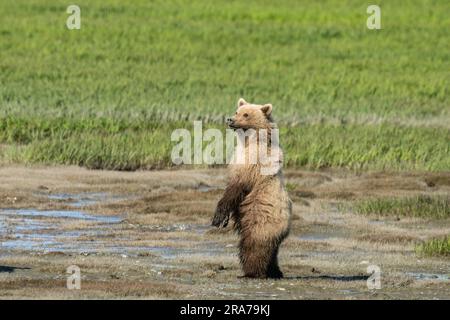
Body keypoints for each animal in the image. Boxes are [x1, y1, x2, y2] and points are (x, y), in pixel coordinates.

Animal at [211, 97, 292, 278]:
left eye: (246, 114)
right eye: (237, 111)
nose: (230, 119)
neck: (251, 140)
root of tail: (286, 228)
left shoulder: (253, 161)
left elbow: (236, 187)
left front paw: (218, 217)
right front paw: (223, 220)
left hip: (260, 218)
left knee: (253, 246)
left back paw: (251, 272)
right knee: (272, 251)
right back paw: (275, 271)